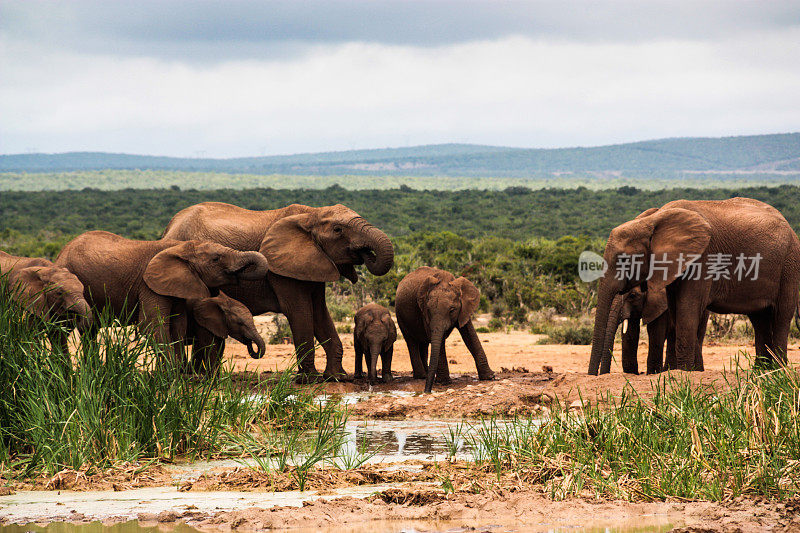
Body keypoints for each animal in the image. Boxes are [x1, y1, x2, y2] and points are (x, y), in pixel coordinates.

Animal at [57, 231, 268, 356]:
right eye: (216, 259)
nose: (252, 349)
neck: (181, 247)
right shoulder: (148, 285)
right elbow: (153, 326)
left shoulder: (176, 286)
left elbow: (178, 326)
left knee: (89, 330)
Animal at [162, 202, 394, 380]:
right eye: (338, 230)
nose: (366, 253)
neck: (311, 214)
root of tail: (168, 227)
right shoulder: (282, 271)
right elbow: (300, 313)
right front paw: (310, 380)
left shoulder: (313, 263)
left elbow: (320, 314)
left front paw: (337, 377)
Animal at [588, 195, 800, 374]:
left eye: (623, 260)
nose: (595, 375)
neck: (653, 221)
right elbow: (677, 312)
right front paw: (684, 371)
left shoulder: (702, 258)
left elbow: (685, 310)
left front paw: (683, 373)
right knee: (759, 319)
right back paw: (762, 371)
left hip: (790, 265)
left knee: (781, 316)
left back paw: (778, 371)